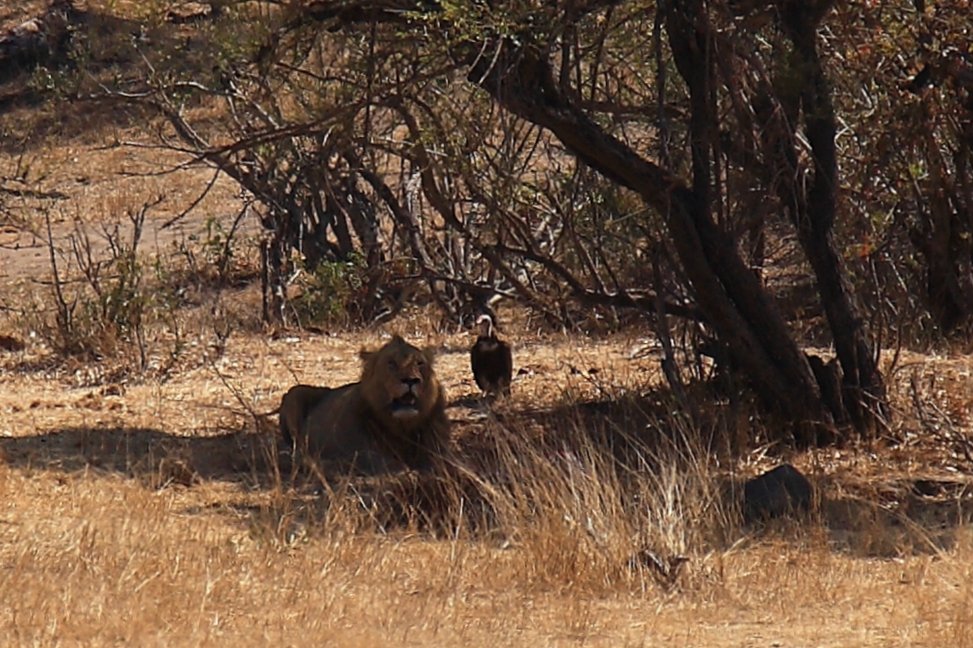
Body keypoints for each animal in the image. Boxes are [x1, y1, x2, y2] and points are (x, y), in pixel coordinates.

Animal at [292, 336, 452, 474]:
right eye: (391, 363)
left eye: (419, 363)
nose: (411, 380)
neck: (402, 426)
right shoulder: (358, 446)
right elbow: (375, 458)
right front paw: (400, 468)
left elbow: (440, 459)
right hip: (295, 392)